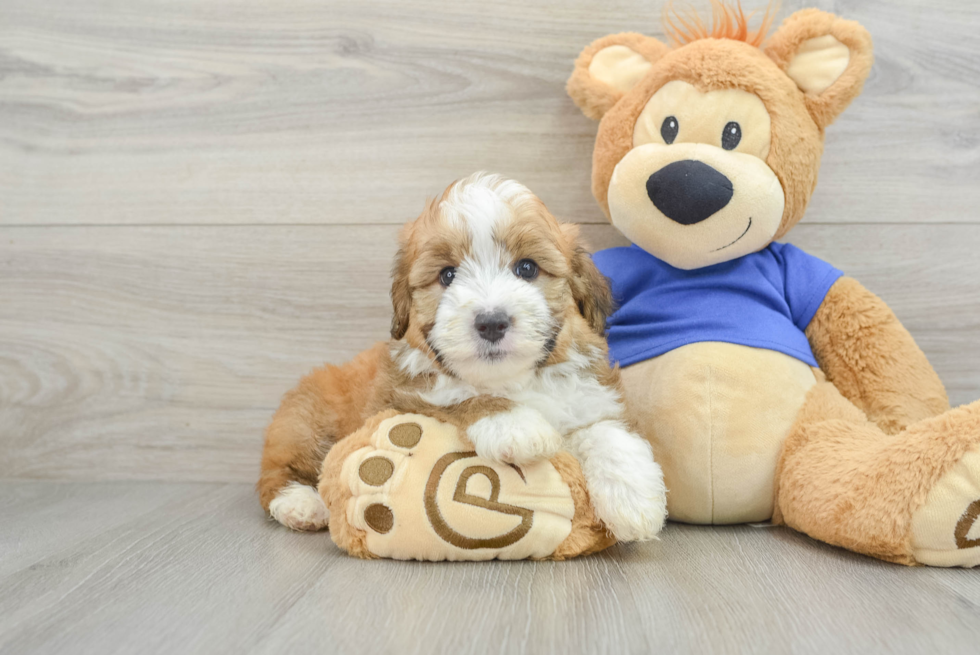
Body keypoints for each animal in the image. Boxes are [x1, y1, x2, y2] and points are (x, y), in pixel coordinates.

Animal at [256, 172, 668, 540]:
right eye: (448, 275)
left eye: (527, 268)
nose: (491, 322)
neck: (513, 379)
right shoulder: (397, 399)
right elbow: (456, 397)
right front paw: (514, 424)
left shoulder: (590, 394)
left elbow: (605, 429)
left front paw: (634, 496)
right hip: (307, 422)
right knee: (276, 470)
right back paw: (300, 503)